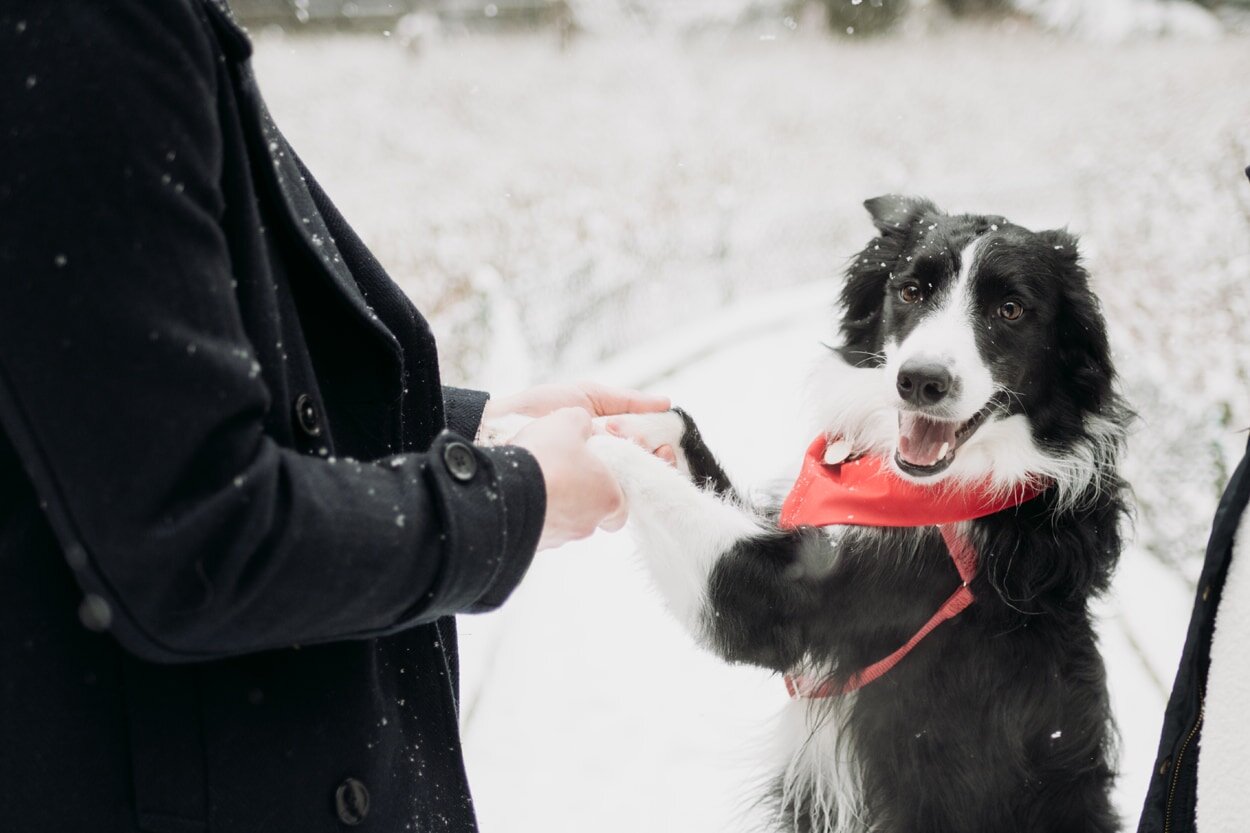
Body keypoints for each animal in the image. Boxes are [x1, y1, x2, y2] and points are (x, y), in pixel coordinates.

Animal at [590, 196, 1130, 830]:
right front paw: (620, 417)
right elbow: (681, 432)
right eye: (912, 291)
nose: (921, 381)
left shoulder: (786, 602)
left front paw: (559, 439)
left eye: (1012, 309)